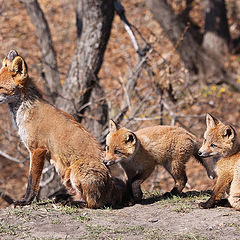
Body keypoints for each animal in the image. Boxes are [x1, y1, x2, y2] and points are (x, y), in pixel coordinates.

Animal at [0, 50, 127, 208]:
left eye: (0, 87)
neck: (25, 110)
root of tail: (112, 187)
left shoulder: (37, 150)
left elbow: (32, 182)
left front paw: (25, 201)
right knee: (80, 196)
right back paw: (64, 198)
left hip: (77, 169)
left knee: (93, 203)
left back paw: (73, 203)